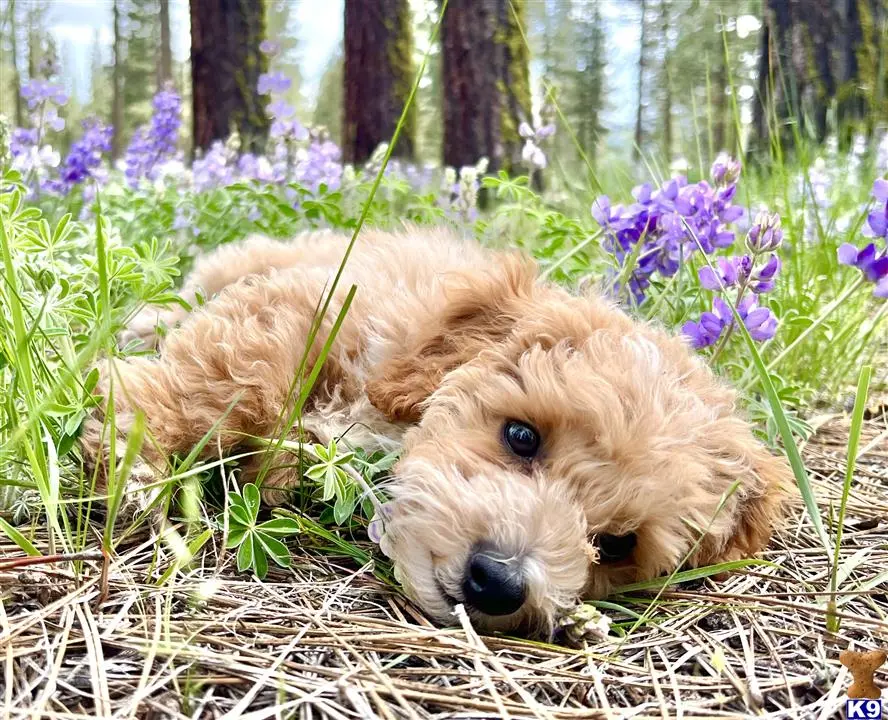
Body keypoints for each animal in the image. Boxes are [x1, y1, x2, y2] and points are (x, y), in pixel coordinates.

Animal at [81, 228, 792, 632]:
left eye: (616, 545)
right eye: (522, 436)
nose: (499, 583)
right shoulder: (312, 305)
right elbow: (238, 372)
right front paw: (134, 450)